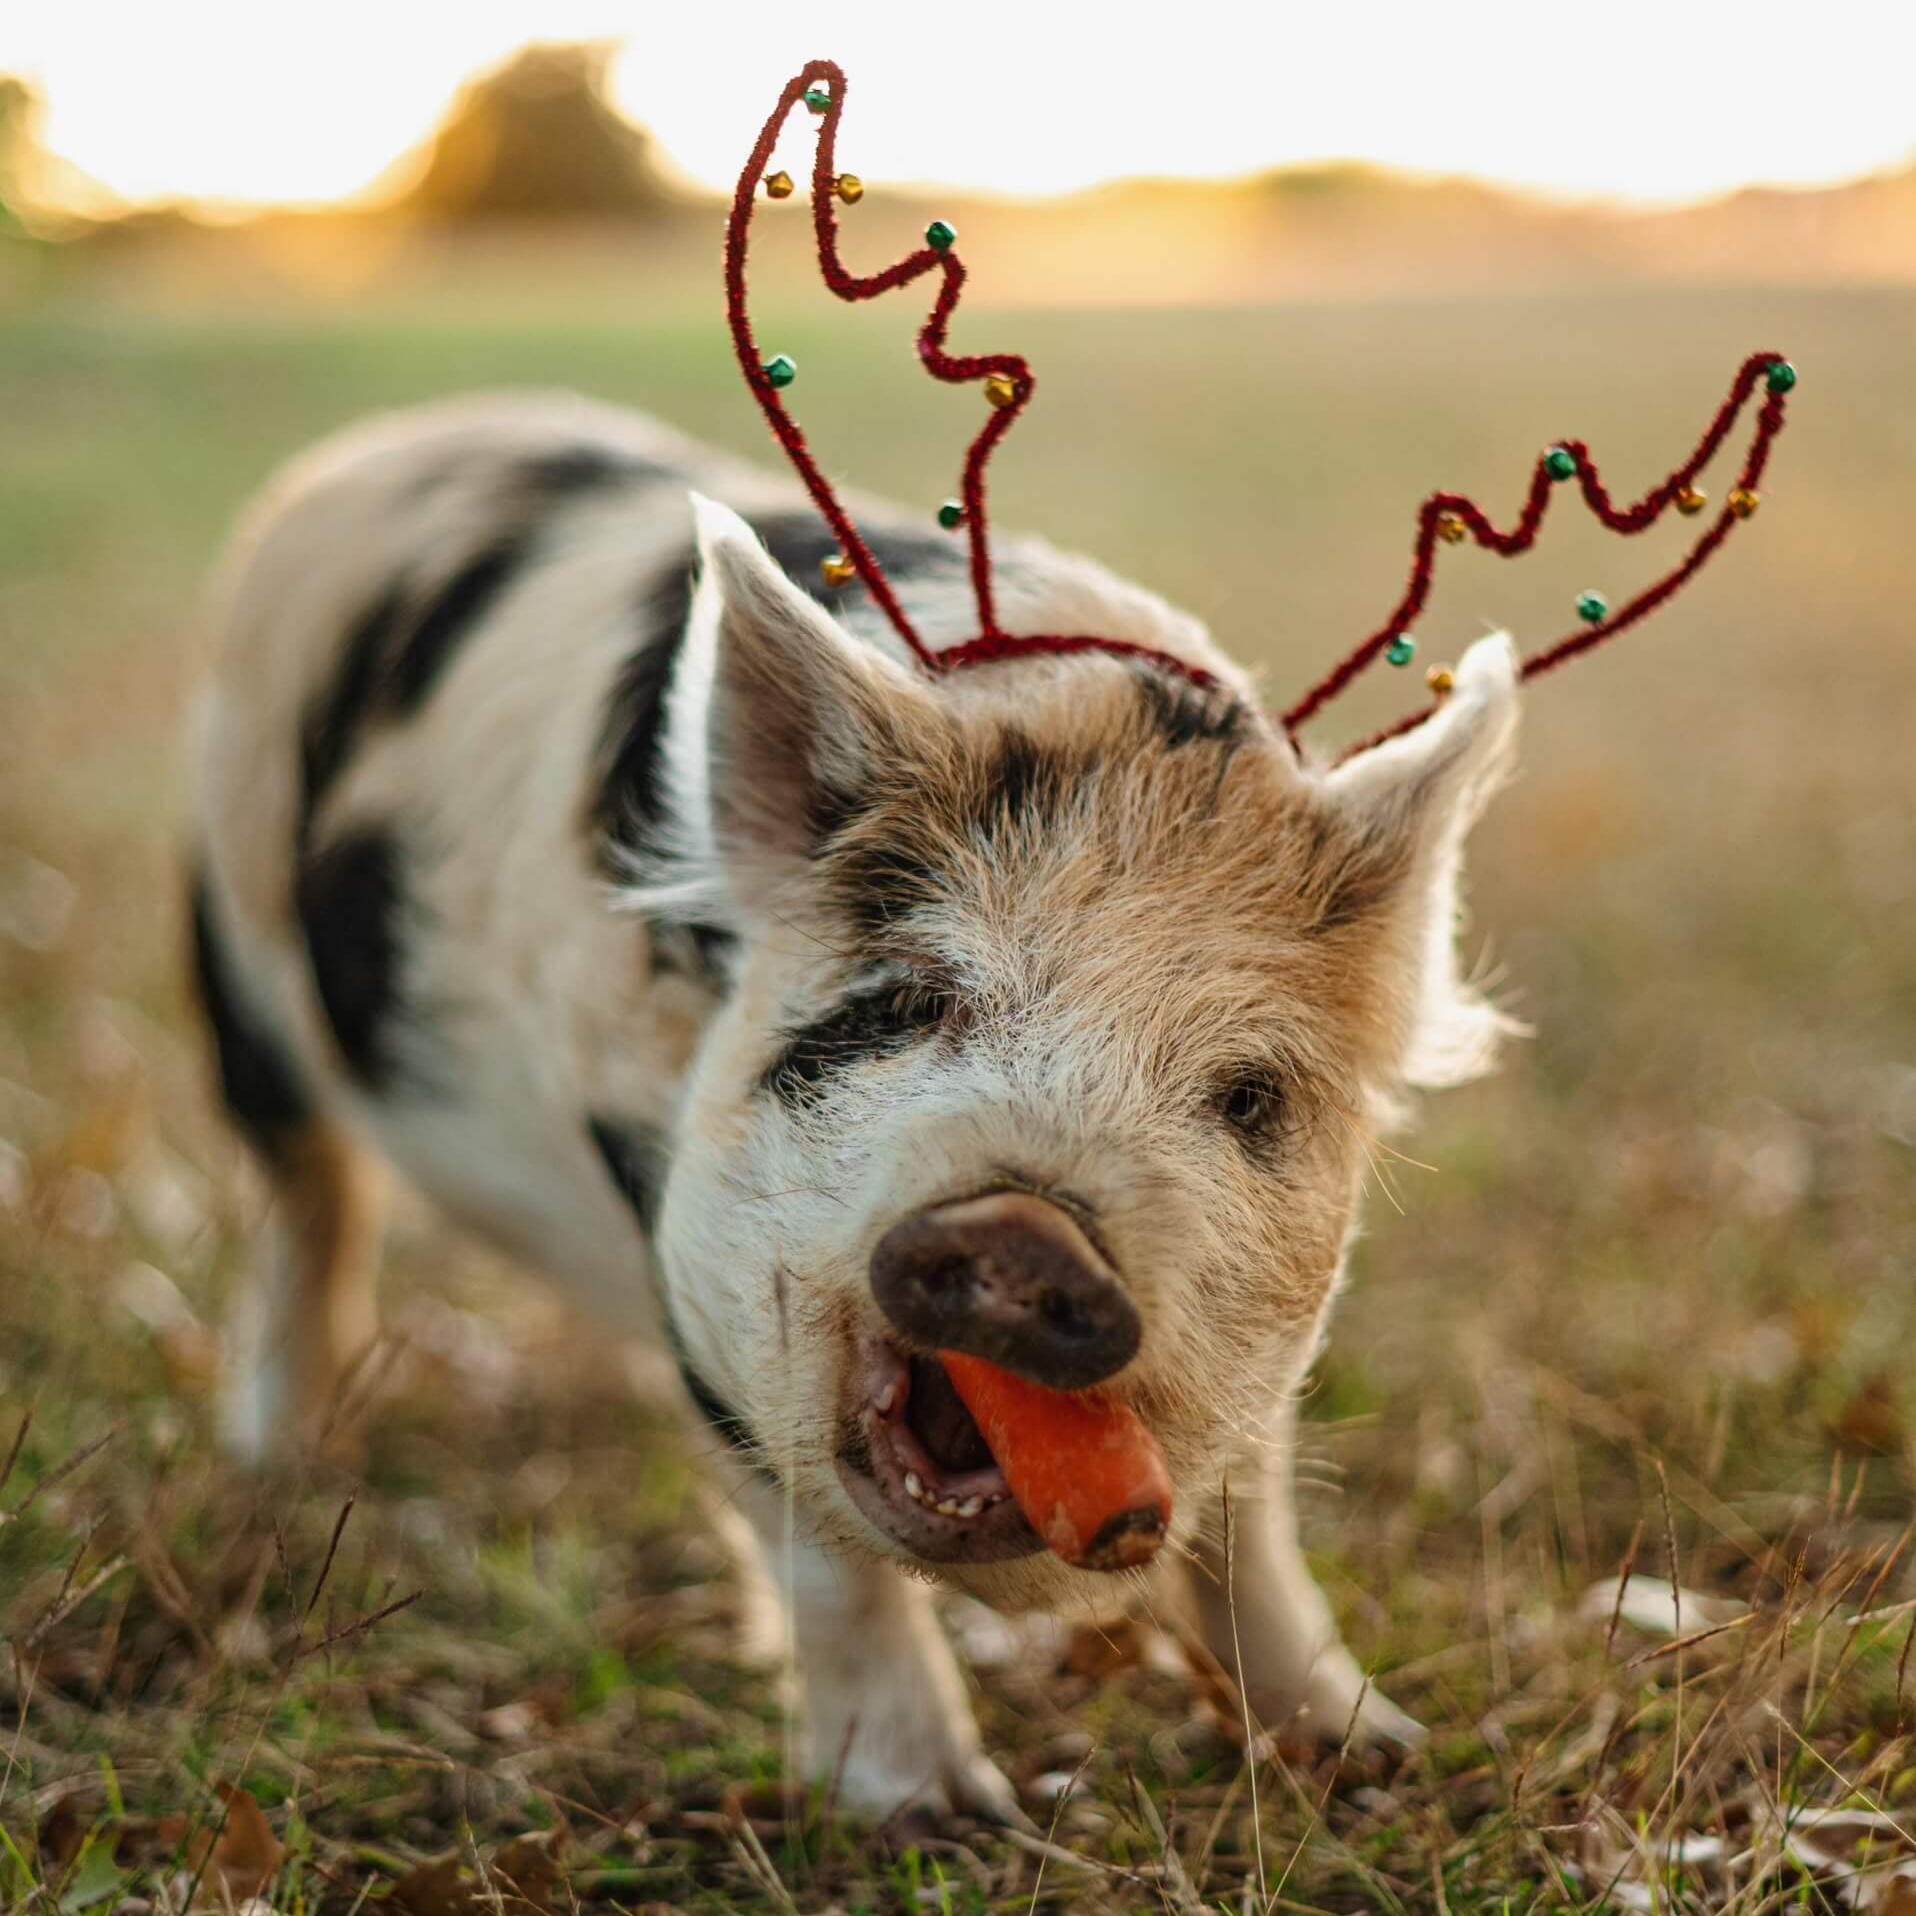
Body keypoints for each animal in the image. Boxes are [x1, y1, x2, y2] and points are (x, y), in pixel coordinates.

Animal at [188, 389, 1519, 1819]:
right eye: (907, 998)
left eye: (1247, 1092)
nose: (1026, 1232)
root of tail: (372, 443)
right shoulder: (679, 1249)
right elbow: (818, 1549)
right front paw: (942, 1818)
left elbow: (1248, 1523)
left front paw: (1379, 1753)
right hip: (230, 949)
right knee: (308, 1192)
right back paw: (286, 1450)